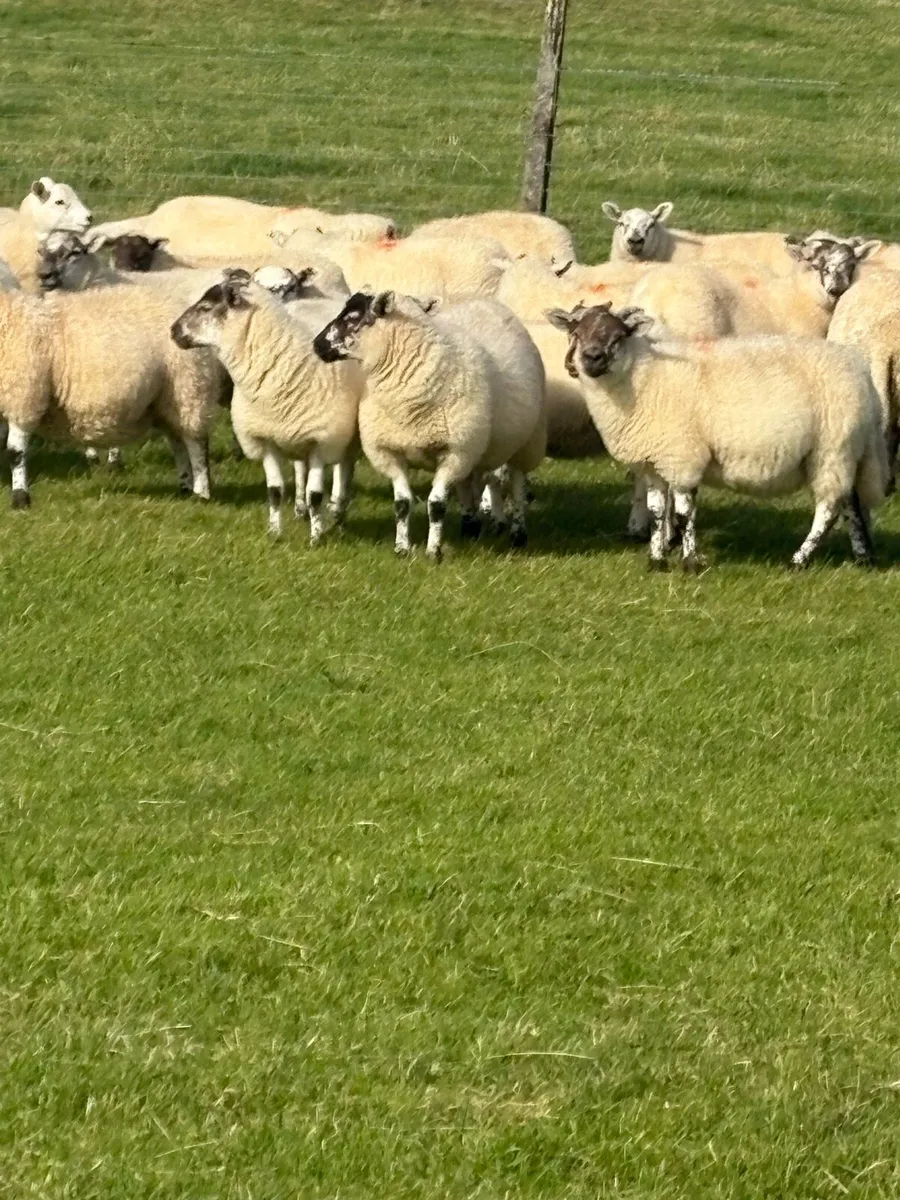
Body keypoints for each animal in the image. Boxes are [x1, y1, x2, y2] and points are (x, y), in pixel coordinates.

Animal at [0, 282, 228, 507]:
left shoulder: (24, 397)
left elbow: (15, 452)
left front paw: (20, 498)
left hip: (191, 387)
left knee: (196, 444)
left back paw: (201, 493)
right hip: (168, 401)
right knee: (178, 443)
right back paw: (185, 488)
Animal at [170, 275, 362, 543]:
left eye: (206, 307)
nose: (173, 330)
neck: (284, 361)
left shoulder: (320, 440)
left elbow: (316, 495)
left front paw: (316, 538)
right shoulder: (266, 439)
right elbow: (274, 491)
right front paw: (274, 532)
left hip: (342, 436)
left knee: (343, 469)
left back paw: (337, 510)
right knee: (300, 470)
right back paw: (301, 510)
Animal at [312, 292, 545, 559]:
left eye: (352, 318)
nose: (317, 345)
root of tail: (484, 301)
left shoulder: (453, 453)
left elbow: (436, 505)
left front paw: (433, 552)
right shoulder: (390, 452)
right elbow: (402, 504)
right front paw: (402, 548)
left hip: (524, 444)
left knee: (517, 488)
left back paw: (518, 535)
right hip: (472, 449)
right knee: (467, 486)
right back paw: (470, 528)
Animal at [546, 302, 887, 570]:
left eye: (618, 337)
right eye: (577, 334)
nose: (591, 358)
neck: (644, 378)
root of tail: (860, 372)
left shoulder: (682, 457)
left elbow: (683, 514)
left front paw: (689, 563)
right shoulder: (653, 461)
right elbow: (657, 513)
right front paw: (656, 561)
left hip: (832, 447)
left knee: (829, 508)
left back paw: (799, 560)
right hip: (845, 451)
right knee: (851, 502)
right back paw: (863, 557)